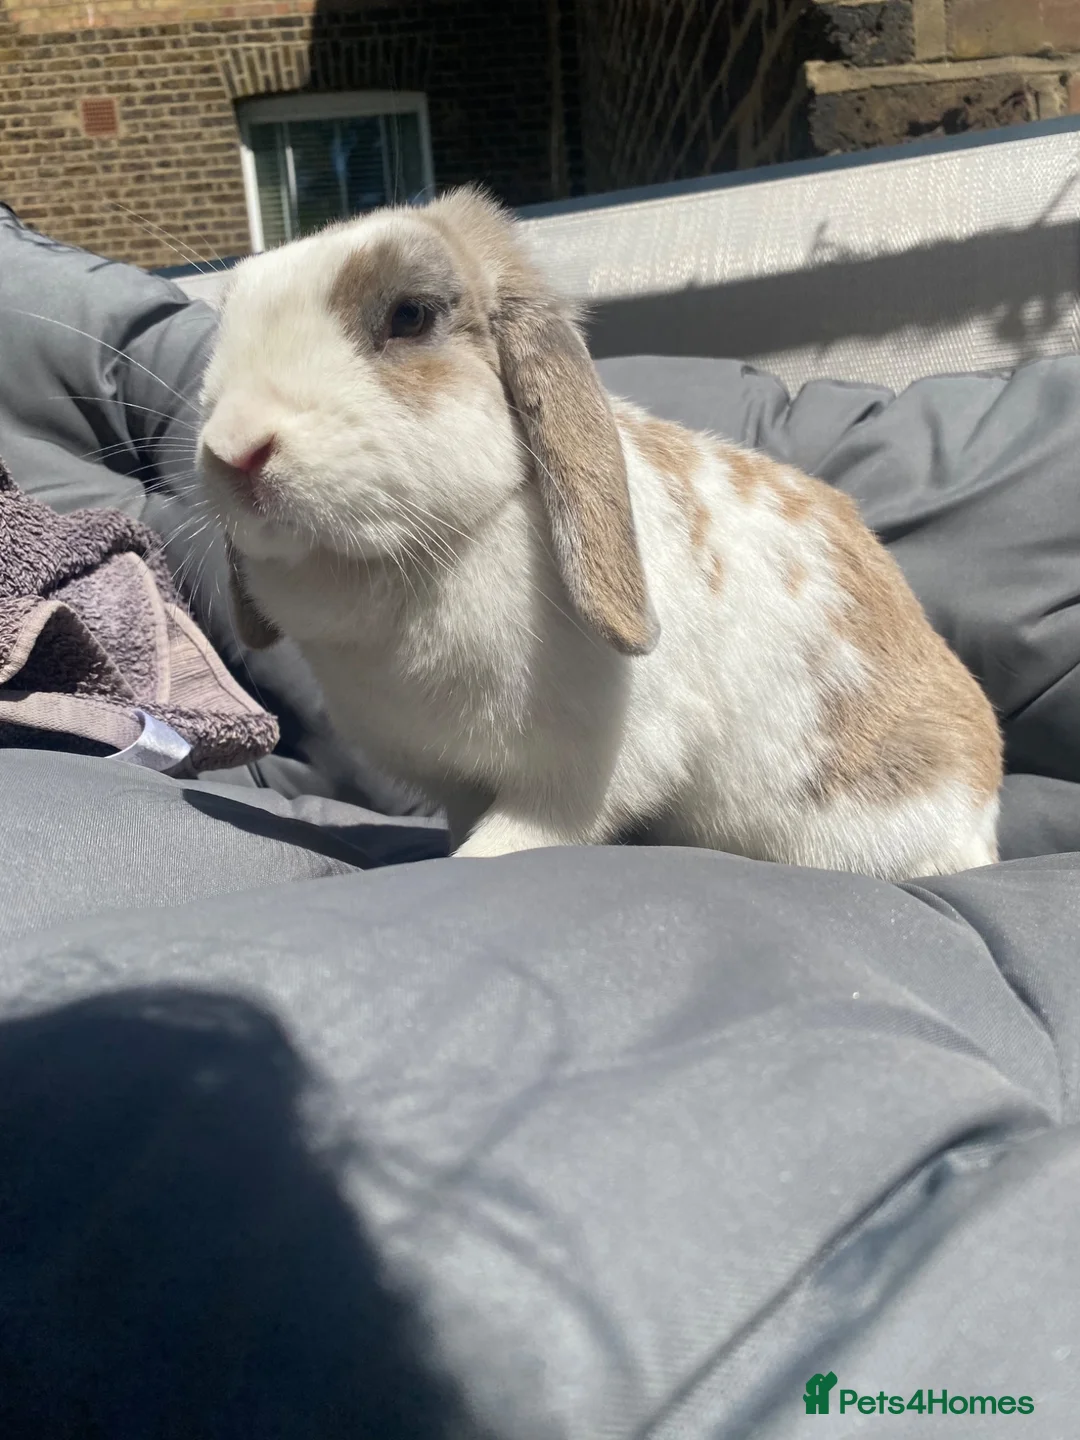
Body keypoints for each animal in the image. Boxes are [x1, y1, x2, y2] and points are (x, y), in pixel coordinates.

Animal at [198, 185, 1003, 880]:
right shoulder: (459, 781)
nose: (234, 449)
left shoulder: (577, 778)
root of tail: (984, 810)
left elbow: (518, 838)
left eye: (410, 317)